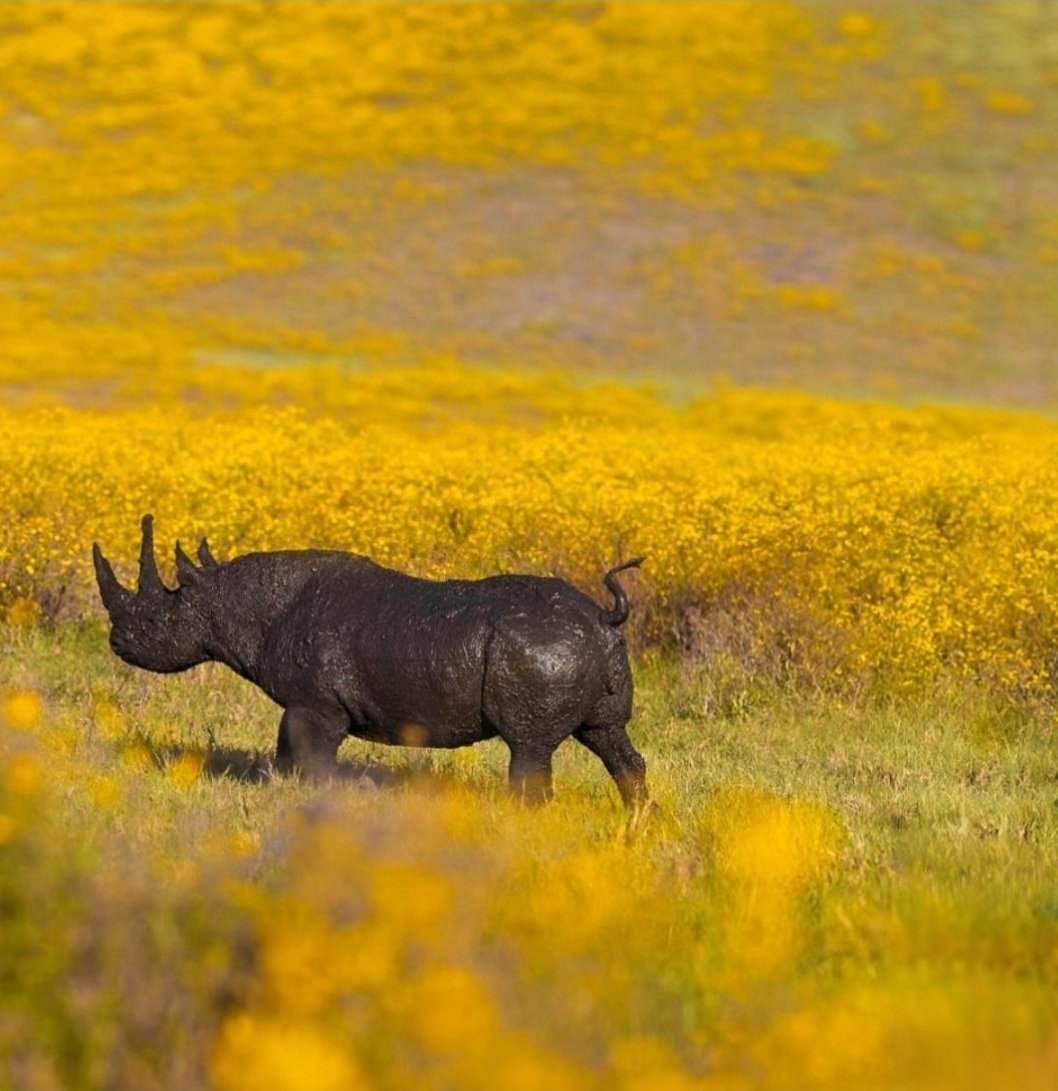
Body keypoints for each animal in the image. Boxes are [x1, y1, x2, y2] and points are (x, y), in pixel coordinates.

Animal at [92, 516, 648, 806]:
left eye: (155, 622)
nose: (117, 643)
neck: (231, 601)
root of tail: (602, 616)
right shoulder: (307, 703)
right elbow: (288, 753)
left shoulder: (318, 704)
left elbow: (312, 757)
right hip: (579, 650)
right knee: (608, 736)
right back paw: (638, 822)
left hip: (540, 649)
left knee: (530, 748)